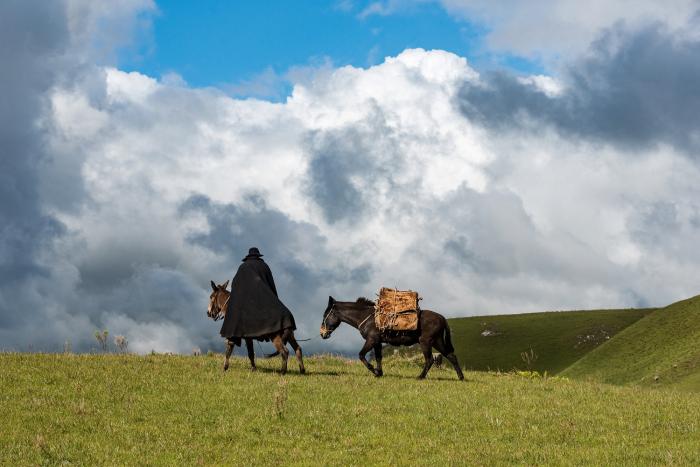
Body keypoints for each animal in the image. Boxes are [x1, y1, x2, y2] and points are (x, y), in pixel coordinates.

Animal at [318, 298, 462, 382]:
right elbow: (378, 358)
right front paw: (379, 373)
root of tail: (442, 318)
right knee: (452, 356)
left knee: (430, 360)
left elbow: (361, 355)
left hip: (426, 342)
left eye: (325, 315)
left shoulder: (371, 340)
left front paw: (374, 371)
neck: (366, 317)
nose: (322, 334)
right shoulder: (377, 342)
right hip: (437, 341)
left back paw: (420, 377)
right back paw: (461, 377)